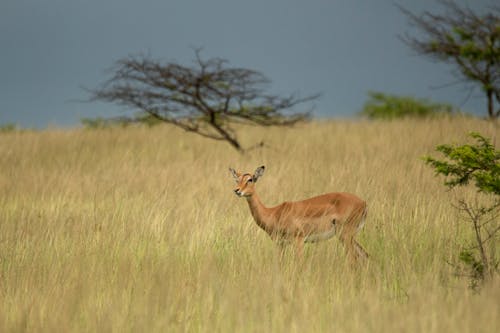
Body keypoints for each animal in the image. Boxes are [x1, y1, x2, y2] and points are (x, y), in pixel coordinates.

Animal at [229, 165, 368, 260]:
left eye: (250, 179)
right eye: (237, 180)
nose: (237, 190)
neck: (274, 213)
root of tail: (363, 203)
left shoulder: (299, 240)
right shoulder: (281, 244)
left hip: (345, 235)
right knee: (364, 255)